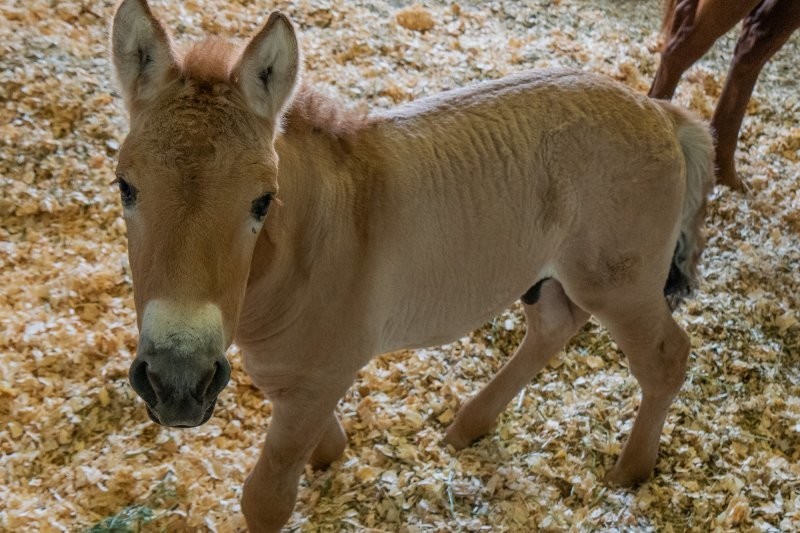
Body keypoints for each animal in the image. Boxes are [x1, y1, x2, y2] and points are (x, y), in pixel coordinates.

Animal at [111, 0, 712, 528]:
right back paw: (469, 425)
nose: (176, 382)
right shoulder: (289, 374)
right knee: (554, 327)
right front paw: (332, 453)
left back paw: (630, 471)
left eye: (263, 200)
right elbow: (317, 436)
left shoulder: (318, 379)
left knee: (665, 358)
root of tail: (660, 112)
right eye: (124, 187)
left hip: (619, 285)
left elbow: (267, 498)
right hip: (545, 275)